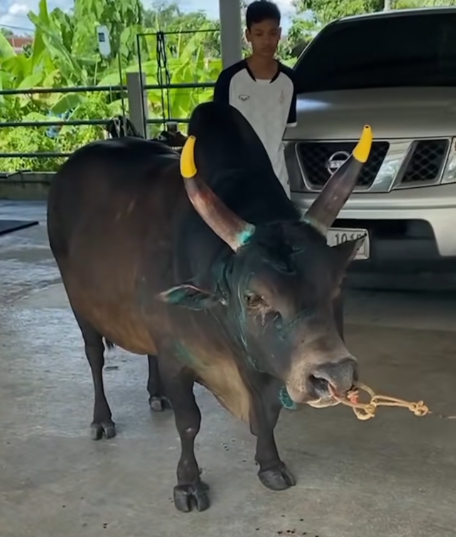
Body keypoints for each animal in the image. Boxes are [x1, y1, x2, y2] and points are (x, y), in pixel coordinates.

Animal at [46, 101, 372, 513]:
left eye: (337, 285)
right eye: (253, 297)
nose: (335, 376)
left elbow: (268, 417)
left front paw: (270, 465)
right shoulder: (176, 357)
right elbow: (189, 422)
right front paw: (188, 485)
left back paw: (156, 395)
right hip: (79, 304)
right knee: (94, 357)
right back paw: (102, 420)